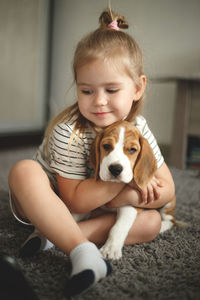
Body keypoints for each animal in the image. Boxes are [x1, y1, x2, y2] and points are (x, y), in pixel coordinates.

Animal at [90, 120, 177, 258]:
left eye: (132, 150)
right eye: (107, 146)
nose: (115, 169)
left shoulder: (130, 205)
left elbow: (118, 227)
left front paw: (110, 248)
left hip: (168, 200)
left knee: (170, 220)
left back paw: (161, 227)